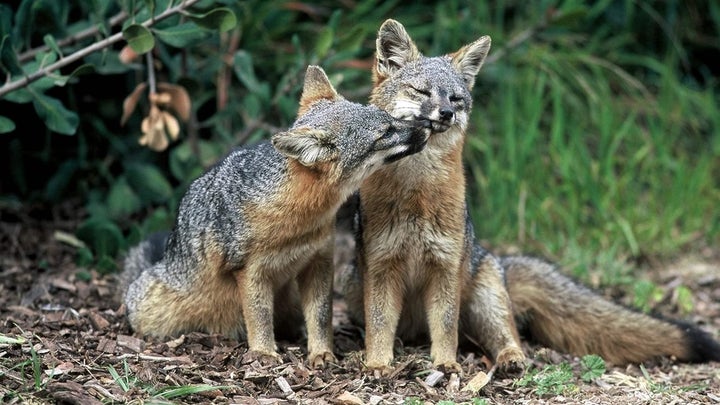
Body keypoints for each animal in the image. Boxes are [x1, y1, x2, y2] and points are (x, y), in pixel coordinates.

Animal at [121, 64, 430, 366]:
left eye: (391, 118)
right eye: (385, 133)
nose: (426, 126)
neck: (298, 222)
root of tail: (163, 260)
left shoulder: (319, 261)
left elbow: (321, 317)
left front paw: (322, 353)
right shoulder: (250, 271)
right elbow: (258, 316)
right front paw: (264, 353)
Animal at [338, 18, 720, 372]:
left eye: (456, 98)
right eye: (420, 91)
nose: (446, 113)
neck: (417, 194)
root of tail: (495, 259)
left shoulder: (445, 268)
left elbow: (446, 330)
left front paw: (446, 364)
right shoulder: (382, 267)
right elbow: (380, 326)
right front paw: (377, 363)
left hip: (484, 301)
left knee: (502, 336)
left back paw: (511, 359)